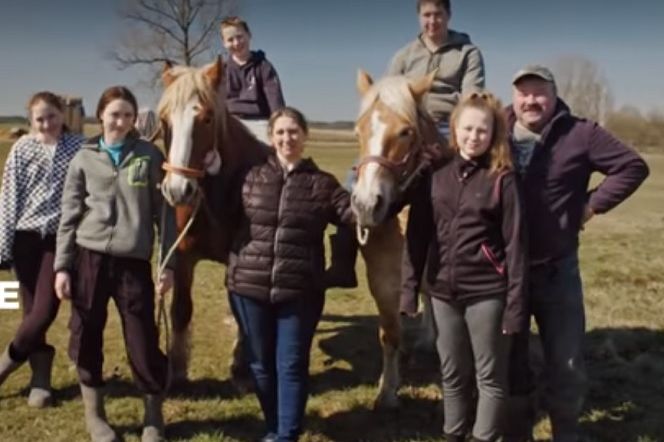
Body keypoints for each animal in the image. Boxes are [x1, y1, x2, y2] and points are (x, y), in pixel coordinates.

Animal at [157, 57, 268, 386]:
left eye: (206, 119)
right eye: (164, 120)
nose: (178, 190)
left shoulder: (239, 259)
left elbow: (243, 310)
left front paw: (240, 365)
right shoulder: (182, 257)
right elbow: (181, 310)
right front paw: (177, 369)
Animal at [350, 70, 448, 408]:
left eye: (406, 132)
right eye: (358, 130)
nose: (366, 205)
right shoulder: (381, 281)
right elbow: (390, 335)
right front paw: (387, 391)